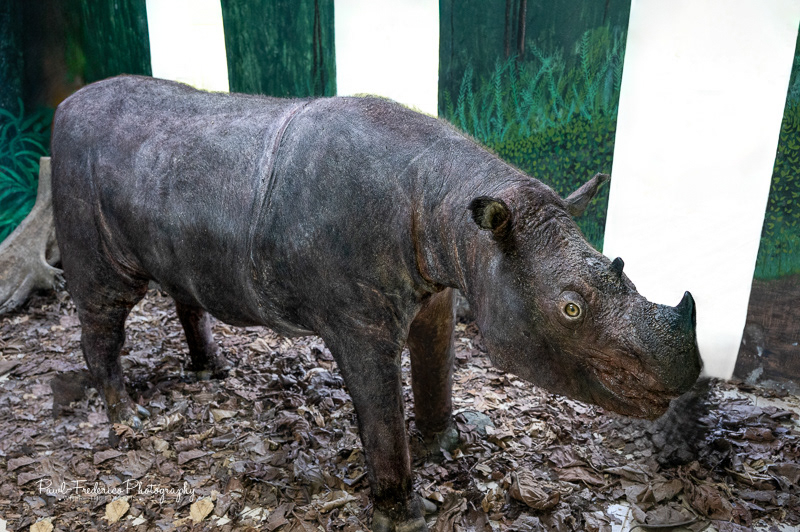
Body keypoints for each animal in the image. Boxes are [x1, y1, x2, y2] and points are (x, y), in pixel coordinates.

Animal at [51, 76, 702, 531]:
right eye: (571, 309)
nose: (686, 370)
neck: (454, 209)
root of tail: (63, 105)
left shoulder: (439, 287)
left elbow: (437, 364)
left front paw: (445, 444)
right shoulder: (358, 323)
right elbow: (381, 411)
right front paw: (405, 515)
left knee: (181, 280)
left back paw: (212, 372)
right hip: (77, 174)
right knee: (107, 300)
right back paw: (127, 419)